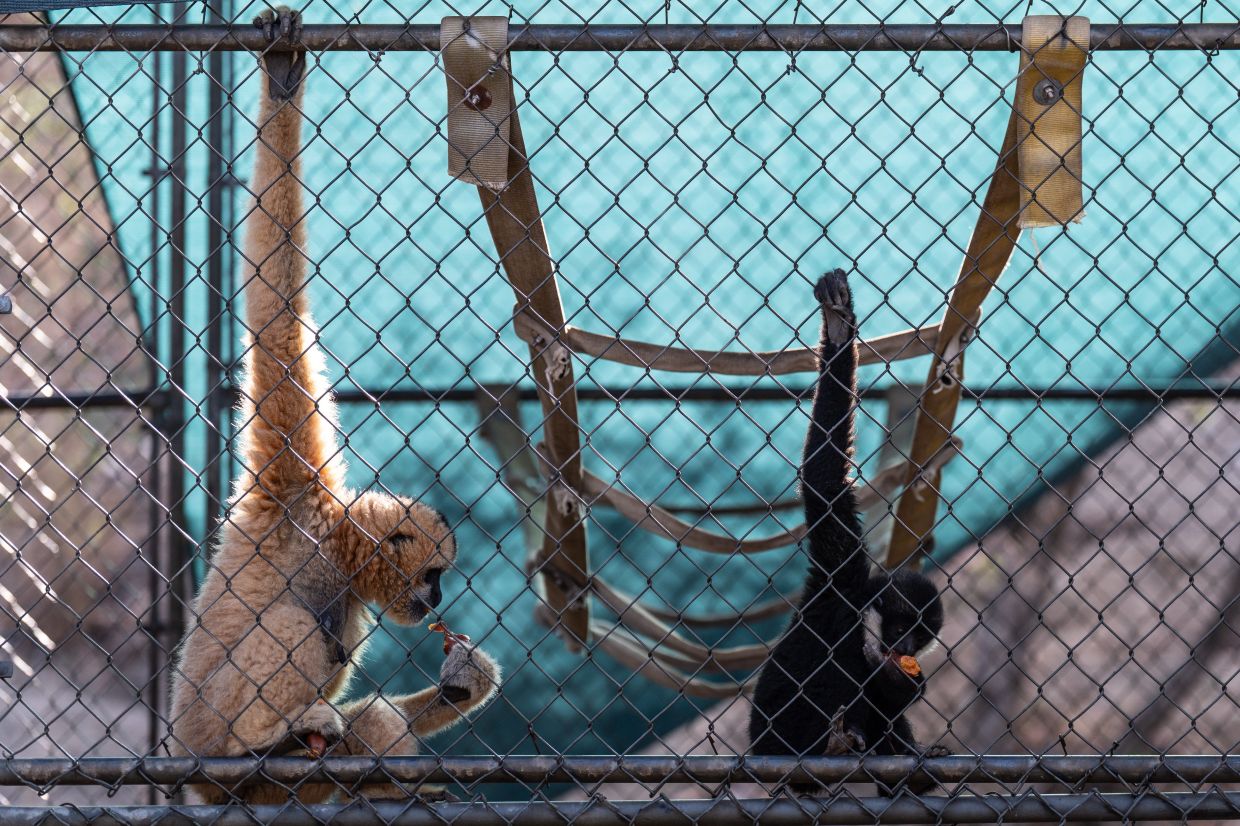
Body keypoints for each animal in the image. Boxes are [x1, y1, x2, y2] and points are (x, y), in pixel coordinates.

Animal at [167, 8, 500, 804]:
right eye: (435, 574)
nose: (436, 603)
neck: (330, 545)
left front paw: (461, 685)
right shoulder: (291, 476)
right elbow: (275, 311)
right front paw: (284, 80)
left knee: (368, 719)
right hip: (213, 749)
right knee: (296, 629)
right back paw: (267, 736)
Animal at [747, 269, 947, 794]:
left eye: (920, 639)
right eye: (900, 629)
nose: (903, 649)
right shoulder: (840, 575)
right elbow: (823, 482)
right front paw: (839, 328)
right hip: (782, 746)